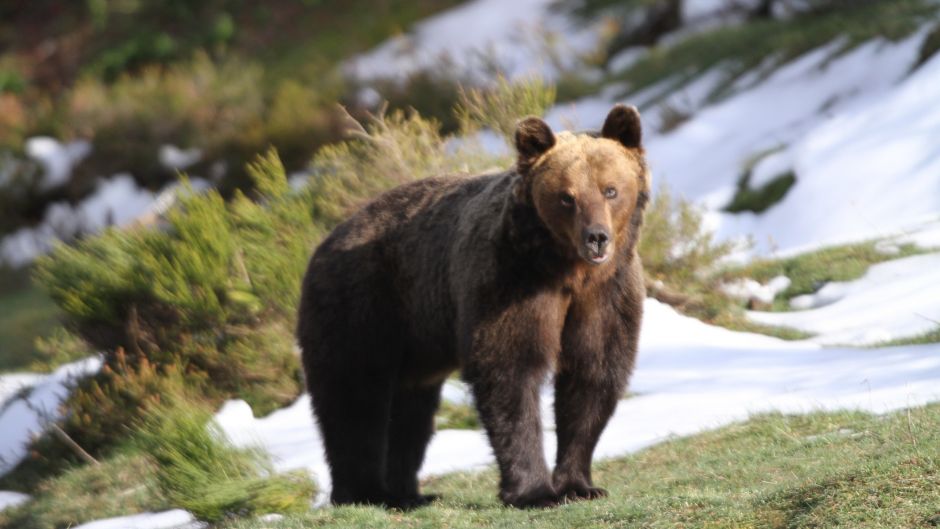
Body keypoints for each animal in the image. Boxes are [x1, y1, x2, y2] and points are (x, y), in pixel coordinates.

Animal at [298, 102, 648, 508]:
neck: (566, 272)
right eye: (567, 197)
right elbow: (510, 371)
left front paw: (579, 485)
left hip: (415, 342)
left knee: (410, 413)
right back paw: (365, 492)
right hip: (363, 305)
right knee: (355, 397)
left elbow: (592, 374)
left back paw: (408, 493)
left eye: (610, 190)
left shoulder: (605, 296)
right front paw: (533, 491)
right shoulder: (509, 282)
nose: (596, 238)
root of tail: (325, 242)